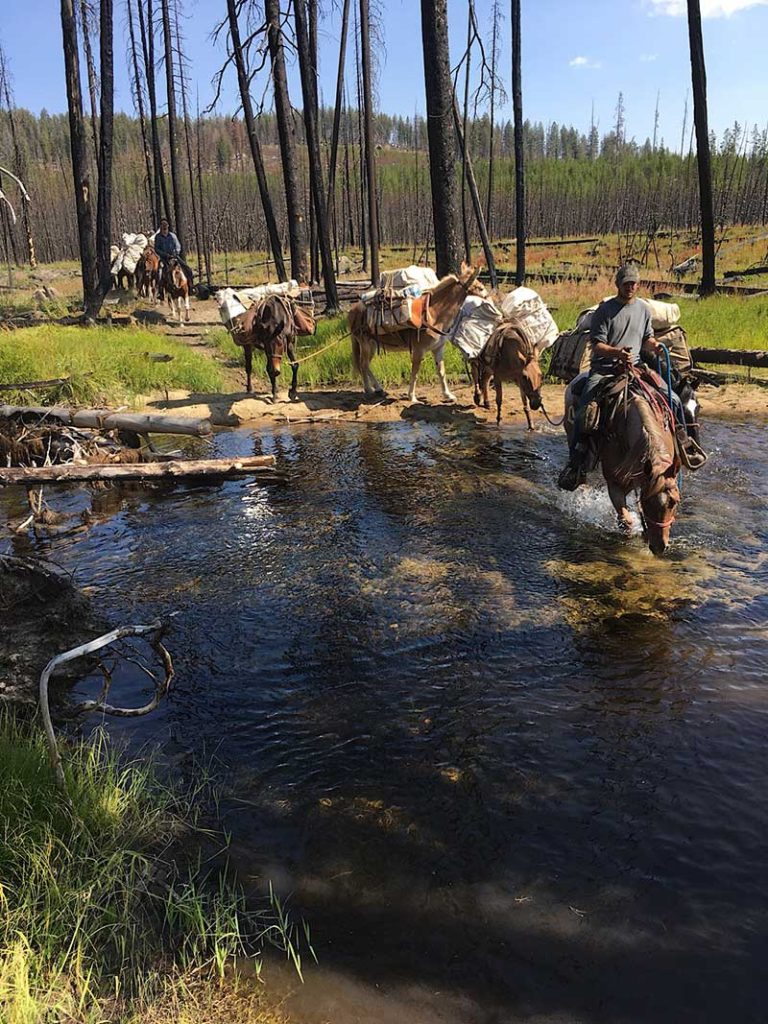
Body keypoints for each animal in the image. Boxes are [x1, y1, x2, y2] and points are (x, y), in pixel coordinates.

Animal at [350, 262, 487, 401]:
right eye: (480, 288)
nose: (488, 297)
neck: (433, 313)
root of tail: (353, 310)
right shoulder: (418, 350)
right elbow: (415, 372)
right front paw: (412, 396)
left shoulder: (438, 348)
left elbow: (441, 371)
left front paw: (448, 395)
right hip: (365, 344)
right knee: (363, 365)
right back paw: (369, 390)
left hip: (372, 345)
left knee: (366, 366)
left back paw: (378, 388)